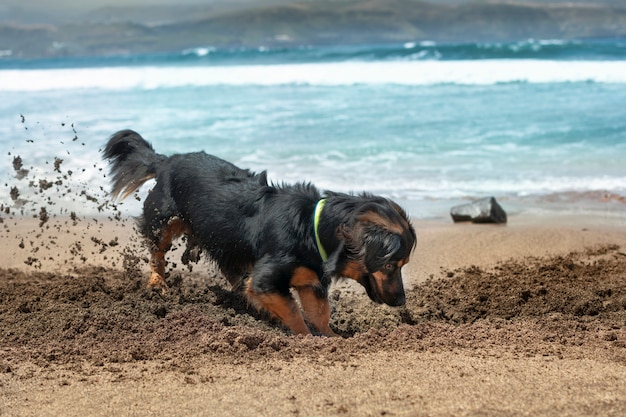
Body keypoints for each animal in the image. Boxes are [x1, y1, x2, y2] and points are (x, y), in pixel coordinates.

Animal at [103, 130, 414, 334]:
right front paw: (305, 337)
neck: (311, 227)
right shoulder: (266, 279)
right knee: (157, 251)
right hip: (164, 219)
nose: (401, 301)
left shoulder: (311, 280)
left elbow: (319, 313)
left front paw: (331, 338)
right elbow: (293, 311)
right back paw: (157, 283)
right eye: (390, 265)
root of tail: (167, 160)